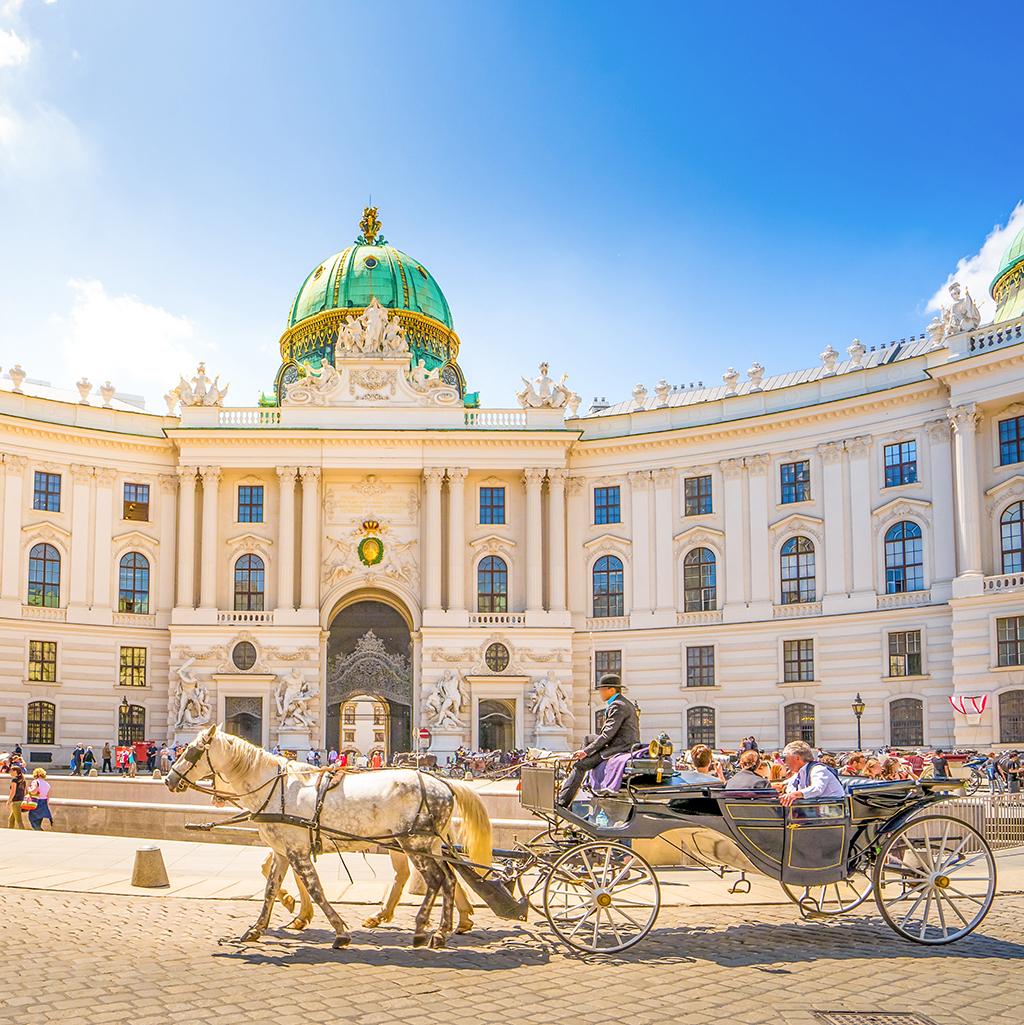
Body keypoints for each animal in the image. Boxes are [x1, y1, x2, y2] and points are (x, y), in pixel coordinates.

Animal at [166, 725, 494, 947]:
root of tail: (443, 783)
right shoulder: (284, 851)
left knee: (437, 880)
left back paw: (425, 929)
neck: (274, 787)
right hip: (426, 844)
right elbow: (270, 889)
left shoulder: (297, 850)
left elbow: (316, 890)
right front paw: (257, 929)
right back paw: (443, 929)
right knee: (448, 878)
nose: (169, 779)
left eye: (191, 750)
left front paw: (340, 931)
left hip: (414, 844)